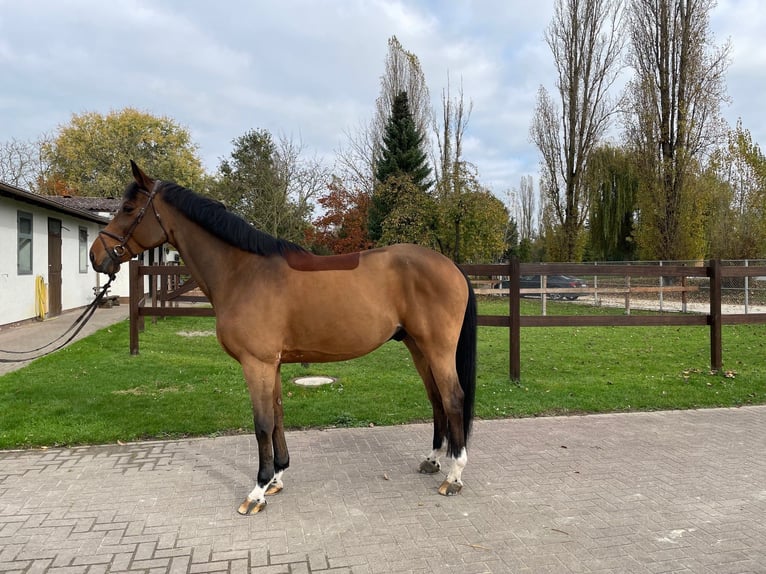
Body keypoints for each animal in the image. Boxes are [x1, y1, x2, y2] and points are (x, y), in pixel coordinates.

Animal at [88, 162, 474, 516]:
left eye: (128, 209)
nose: (95, 256)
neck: (243, 273)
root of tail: (452, 267)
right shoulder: (271, 364)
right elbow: (277, 415)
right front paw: (276, 478)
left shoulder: (255, 363)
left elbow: (261, 423)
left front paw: (257, 491)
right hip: (417, 347)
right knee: (436, 398)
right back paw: (433, 460)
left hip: (437, 348)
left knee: (453, 398)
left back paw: (453, 476)